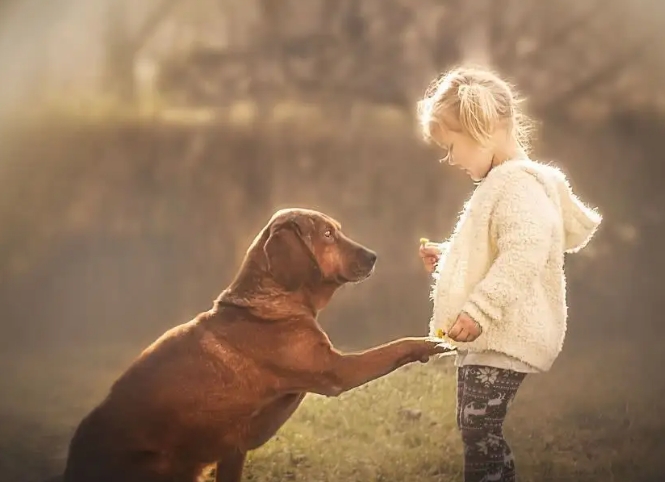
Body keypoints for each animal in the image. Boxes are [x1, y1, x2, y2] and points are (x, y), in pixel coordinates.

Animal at [62, 209, 448, 482]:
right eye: (327, 234)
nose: (374, 256)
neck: (275, 296)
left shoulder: (234, 450)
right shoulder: (337, 371)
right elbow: (394, 347)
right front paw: (429, 344)